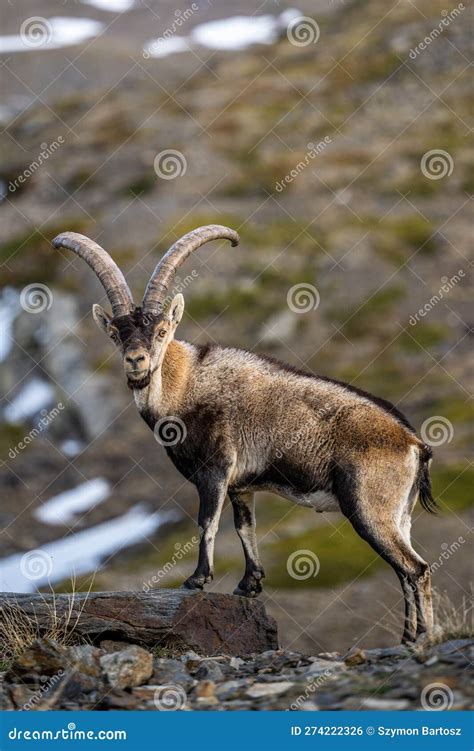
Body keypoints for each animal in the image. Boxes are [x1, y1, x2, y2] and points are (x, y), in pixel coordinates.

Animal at [53, 225, 436, 643]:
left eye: (162, 331)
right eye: (116, 333)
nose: (136, 361)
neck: (183, 387)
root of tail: (414, 443)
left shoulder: (216, 469)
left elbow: (207, 521)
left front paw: (197, 579)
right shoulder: (241, 485)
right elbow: (243, 527)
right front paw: (249, 584)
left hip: (369, 508)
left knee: (416, 570)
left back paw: (426, 637)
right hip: (400, 515)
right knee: (405, 572)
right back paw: (408, 637)